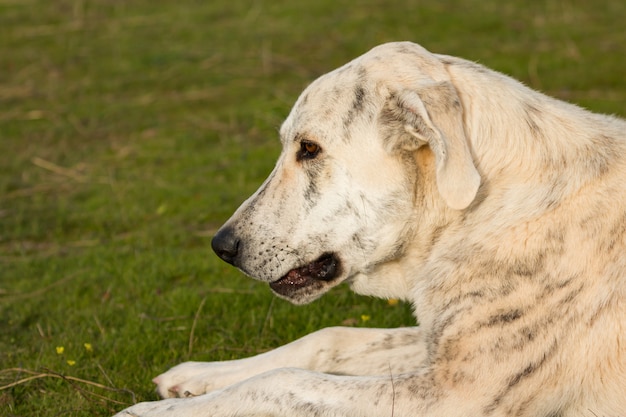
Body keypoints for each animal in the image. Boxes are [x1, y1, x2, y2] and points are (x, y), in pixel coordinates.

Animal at [117, 40, 624, 414]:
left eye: (309, 149)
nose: (221, 247)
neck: (482, 209)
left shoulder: (451, 396)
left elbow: (280, 381)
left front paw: (156, 413)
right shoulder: (434, 346)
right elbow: (326, 339)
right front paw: (200, 376)